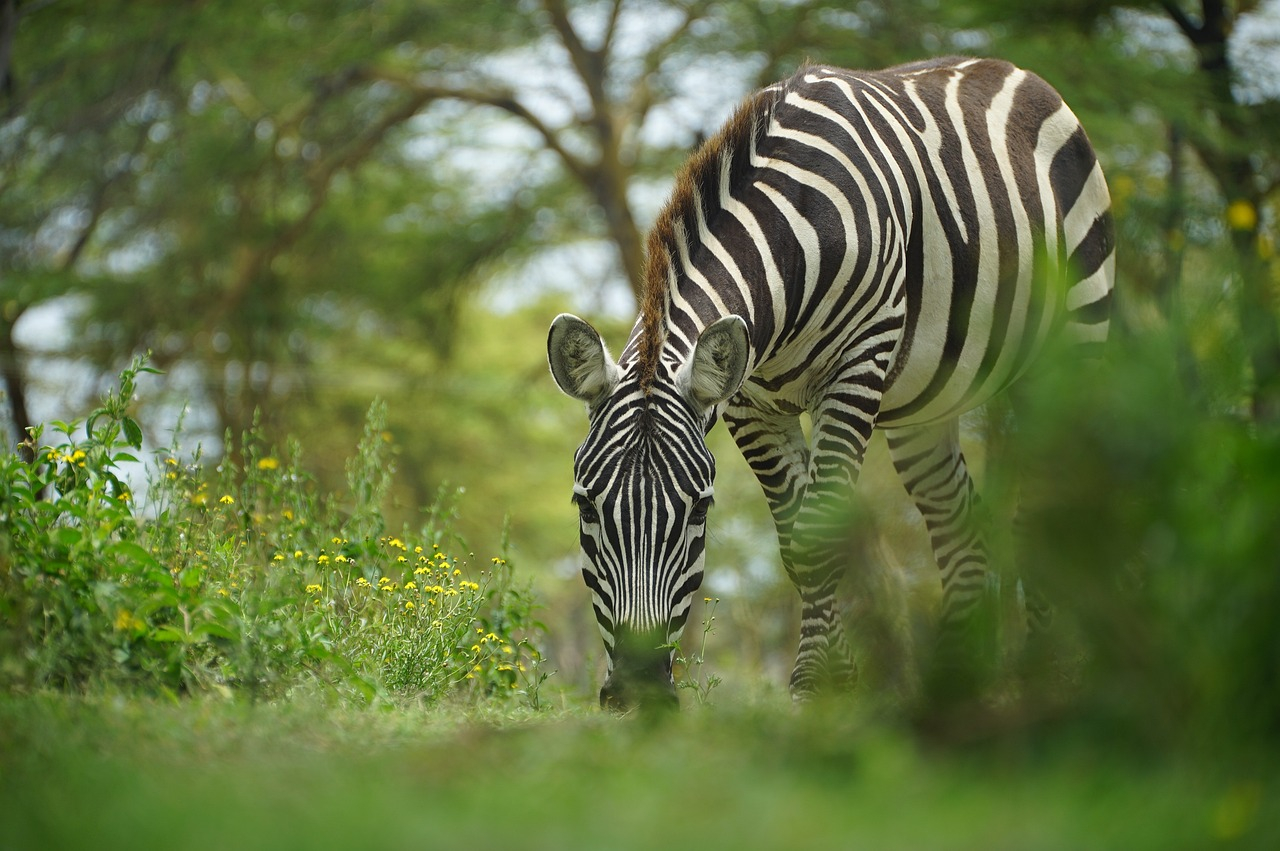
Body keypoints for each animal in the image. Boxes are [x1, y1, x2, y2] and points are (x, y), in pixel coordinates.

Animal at [545, 56, 1116, 706]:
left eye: (699, 510)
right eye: (585, 505)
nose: (639, 690)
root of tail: (1008, 67)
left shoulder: (856, 367)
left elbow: (820, 532)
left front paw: (817, 682)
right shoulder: (749, 403)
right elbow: (796, 539)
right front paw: (837, 678)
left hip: (1068, 345)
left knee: (1048, 503)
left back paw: (1049, 673)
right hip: (927, 406)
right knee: (958, 522)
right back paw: (954, 682)